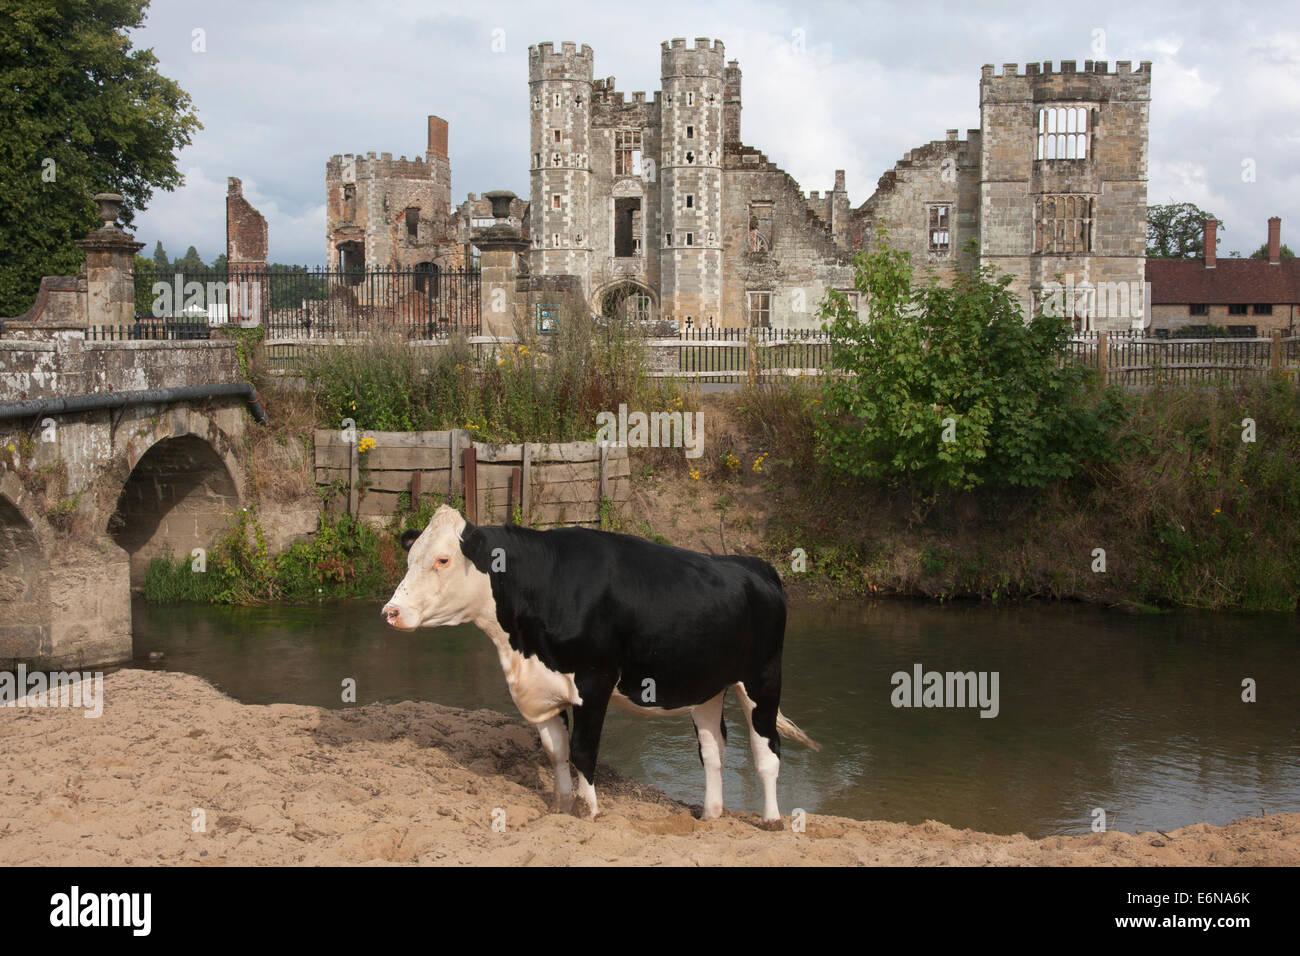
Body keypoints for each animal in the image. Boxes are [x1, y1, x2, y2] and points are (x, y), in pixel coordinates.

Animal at [379, 504, 816, 827]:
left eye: (443, 559)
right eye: (410, 557)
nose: (391, 612)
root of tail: (753, 565)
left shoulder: (594, 681)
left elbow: (582, 749)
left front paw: (589, 810)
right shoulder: (543, 688)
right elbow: (555, 751)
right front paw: (561, 807)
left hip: (762, 679)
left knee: (767, 750)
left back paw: (772, 820)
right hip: (708, 685)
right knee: (713, 749)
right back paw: (710, 814)